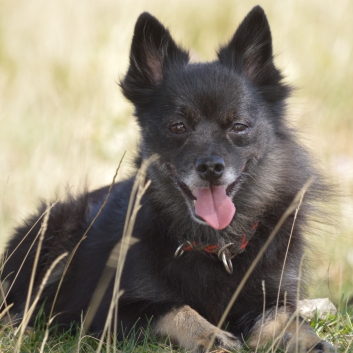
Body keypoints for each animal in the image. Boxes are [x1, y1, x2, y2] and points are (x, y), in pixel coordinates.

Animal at [1, 6, 334, 352]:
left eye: (239, 126)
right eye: (178, 127)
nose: (211, 167)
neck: (214, 245)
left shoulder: (269, 300)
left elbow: (289, 322)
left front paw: (313, 342)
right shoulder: (109, 310)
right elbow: (174, 309)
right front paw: (211, 335)